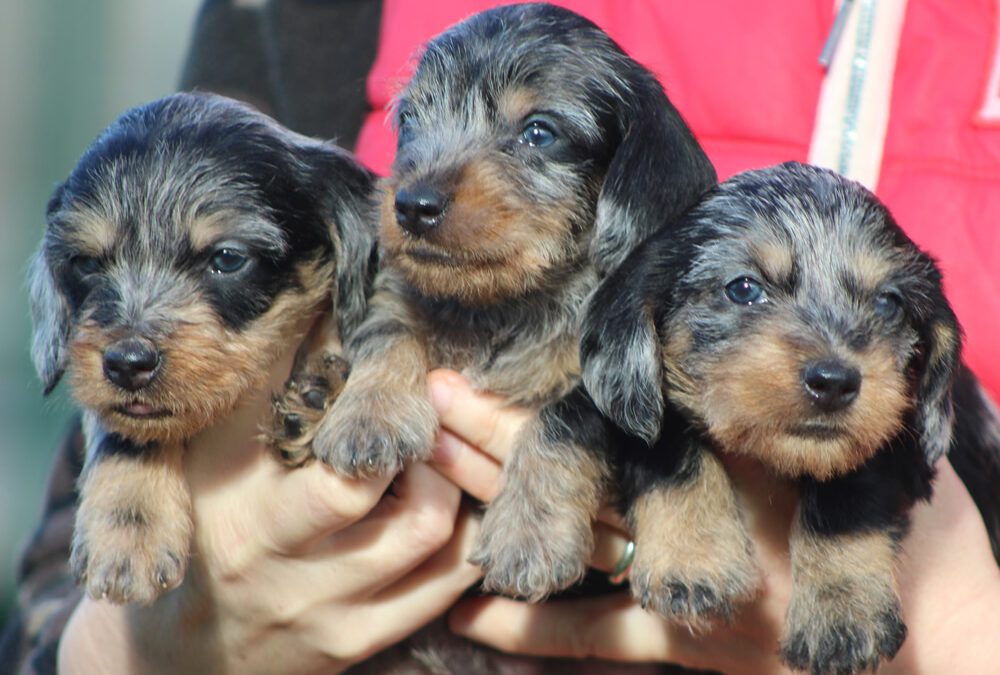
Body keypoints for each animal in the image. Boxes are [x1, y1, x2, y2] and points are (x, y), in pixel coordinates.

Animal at [31, 91, 376, 608]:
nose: (126, 364)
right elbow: (128, 428)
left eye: (227, 259)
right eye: (86, 263)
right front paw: (130, 525)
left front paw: (322, 394)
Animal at [280, 2, 720, 600]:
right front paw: (370, 413)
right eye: (411, 121)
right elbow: (389, 332)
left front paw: (529, 534)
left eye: (539, 132)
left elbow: (560, 422)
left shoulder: (610, 373)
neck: (503, 301)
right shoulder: (396, 294)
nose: (411, 205)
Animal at [584, 161, 964, 672]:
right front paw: (694, 558)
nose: (834, 381)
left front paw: (841, 613)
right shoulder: (641, 411)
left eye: (889, 303)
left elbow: (847, 492)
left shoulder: (902, 436)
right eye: (744, 288)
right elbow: (673, 451)